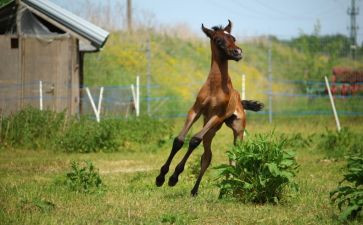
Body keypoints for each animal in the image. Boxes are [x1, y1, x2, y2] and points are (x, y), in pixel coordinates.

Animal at [155, 21, 264, 197]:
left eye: (233, 38)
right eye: (219, 40)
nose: (238, 52)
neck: (215, 87)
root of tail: (240, 101)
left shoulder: (217, 116)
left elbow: (193, 140)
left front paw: (174, 177)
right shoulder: (196, 111)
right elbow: (179, 140)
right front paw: (161, 177)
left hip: (236, 130)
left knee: (233, 156)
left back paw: (227, 190)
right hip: (211, 130)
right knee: (207, 157)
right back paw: (195, 190)